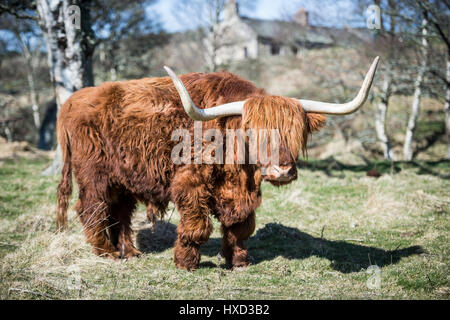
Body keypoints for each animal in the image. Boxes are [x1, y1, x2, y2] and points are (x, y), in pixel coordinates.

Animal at [56, 57, 380, 270]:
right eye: (254, 131)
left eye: (295, 133)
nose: (283, 170)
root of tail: (73, 100)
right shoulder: (190, 183)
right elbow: (197, 225)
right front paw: (186, 262)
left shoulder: (242, 192)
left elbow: (240, 226)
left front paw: (239, 261)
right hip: (95, 175)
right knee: (92, 208)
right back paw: (106, 253)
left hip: (123, 179)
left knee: (120, 212)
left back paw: (130, 251)